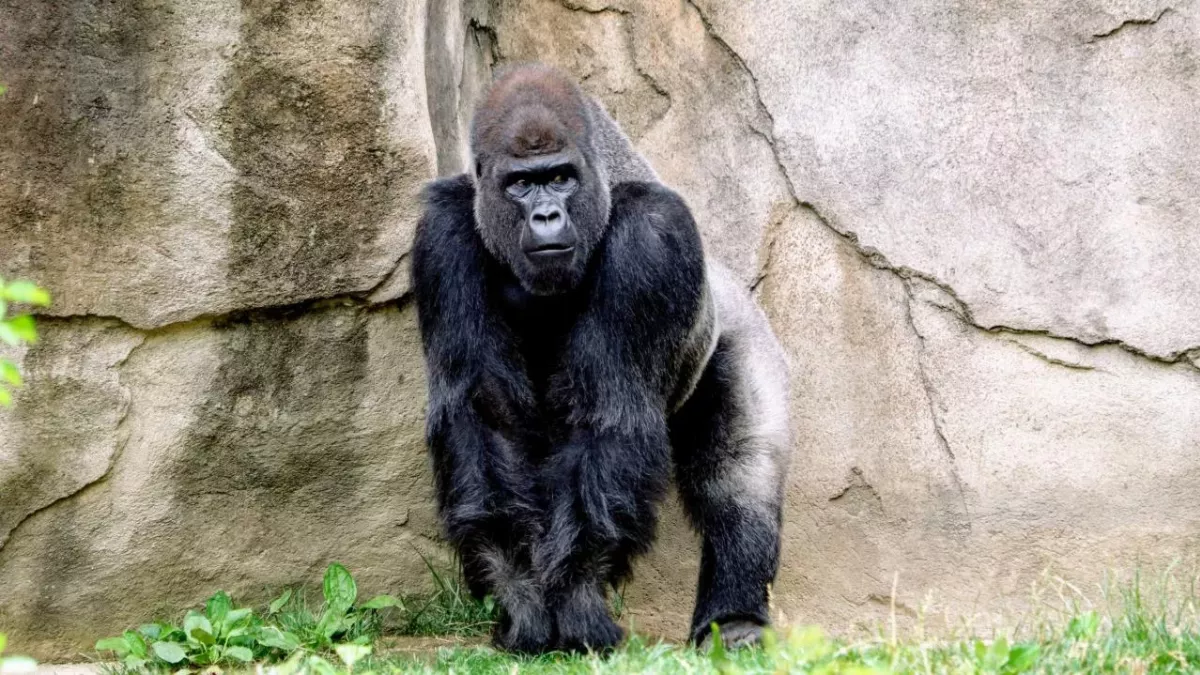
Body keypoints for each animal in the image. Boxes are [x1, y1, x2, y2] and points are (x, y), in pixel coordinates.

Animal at [411, 63, 790, 654]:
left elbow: (611, 417)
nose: (546, 215)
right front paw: (522, 597)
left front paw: (577, 600)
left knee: (739, 474)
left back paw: (735, 618)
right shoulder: (442, 235)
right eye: (520, 184)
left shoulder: (653, 238)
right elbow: (484, 417)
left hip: (743, 334)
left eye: (561, 177)